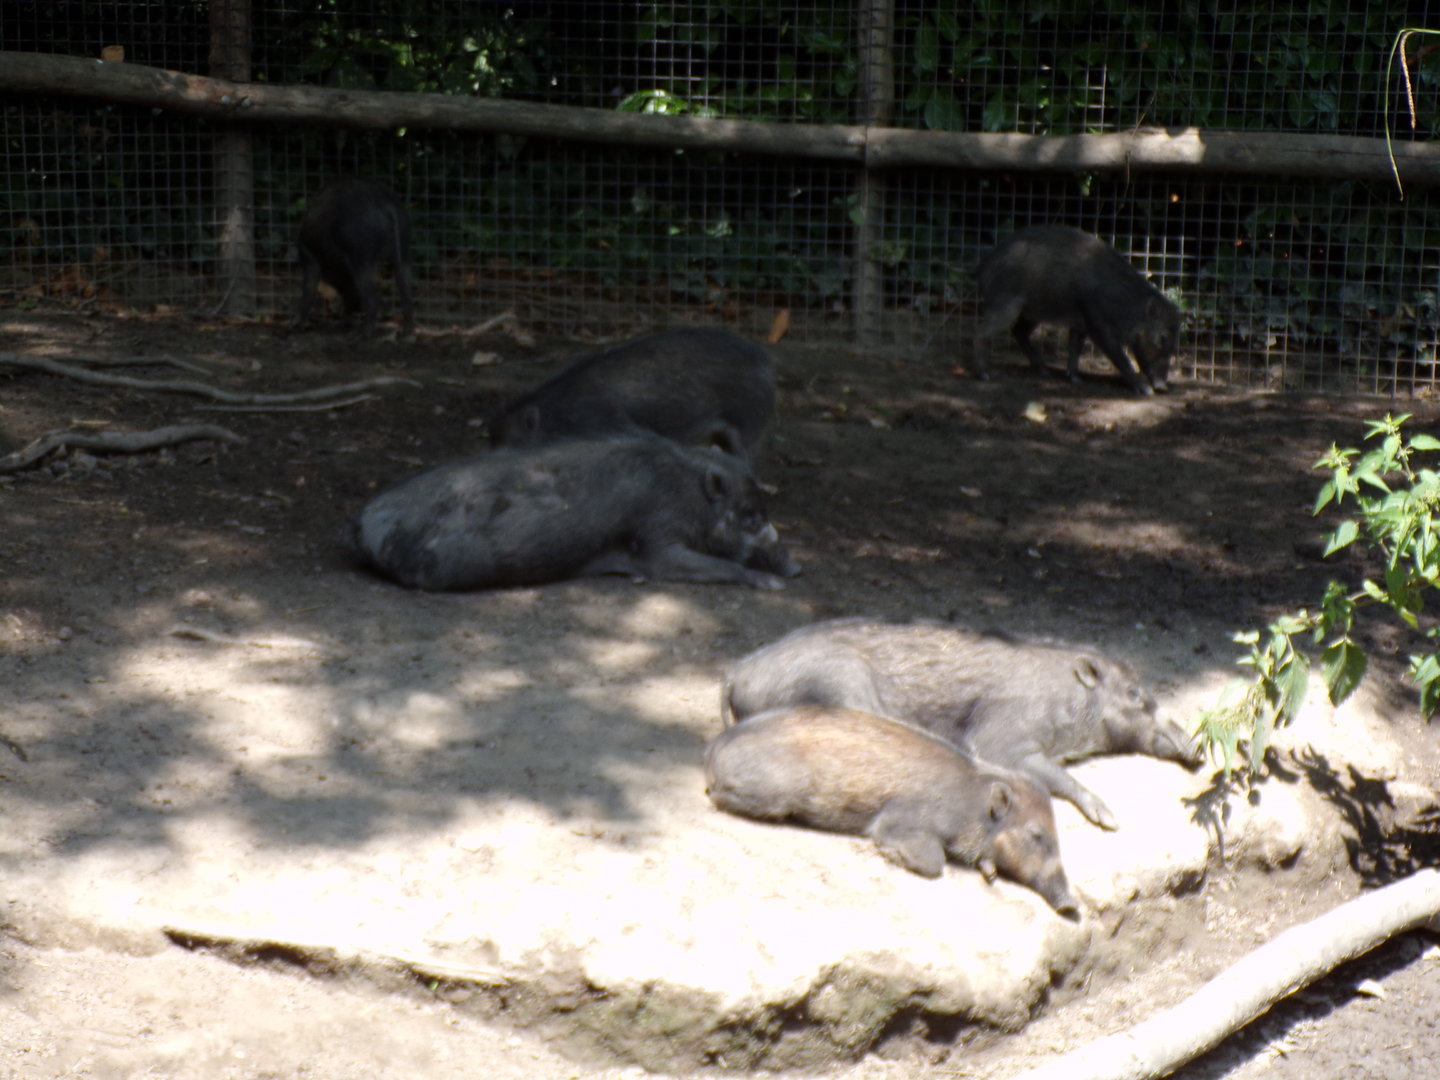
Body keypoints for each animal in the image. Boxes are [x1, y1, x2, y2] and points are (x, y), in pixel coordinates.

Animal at [295, 177, 415, 337]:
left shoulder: (308, 255)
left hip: (360, 253)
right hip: (404, 246)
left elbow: (309, 287)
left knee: (372, 295)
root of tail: (387, 205)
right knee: (406, 288)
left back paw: (363, 334)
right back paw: (407, 332)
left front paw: (295, 324)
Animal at [354, 433, 796, 591]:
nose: (796, 568)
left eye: (763, 509)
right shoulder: (656, 537)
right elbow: (705, 565)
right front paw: (771, 585)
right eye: (750, 515)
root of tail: (361, 523)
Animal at [704, 705, 1078, 915]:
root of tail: (715, 750)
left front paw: (989, 872)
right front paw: (888, 855)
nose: (1072, 905)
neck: (972, 806)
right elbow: (933, 862)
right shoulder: (901, 821)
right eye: (1036, 834)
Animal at [722, 618, 1199, 830]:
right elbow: (1056, 776)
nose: (1195, 747)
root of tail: (735, 674)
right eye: (1134, 694)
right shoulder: (1001, 740)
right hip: (841, 687)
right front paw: (1109, 819)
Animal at [975, 224, 1179, 395]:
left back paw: (1044, 371)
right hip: (1006, 305)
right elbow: (1120, 358)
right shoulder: (1097, 324)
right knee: (983, 332)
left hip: (1031, 312)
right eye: (1162, 338)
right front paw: (1144, 390)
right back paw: (984, 375)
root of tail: (982, 267)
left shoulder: (1080, 323)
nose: (1163, 386)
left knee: (1019, 331)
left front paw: (1075, 379)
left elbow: (1075, 348)